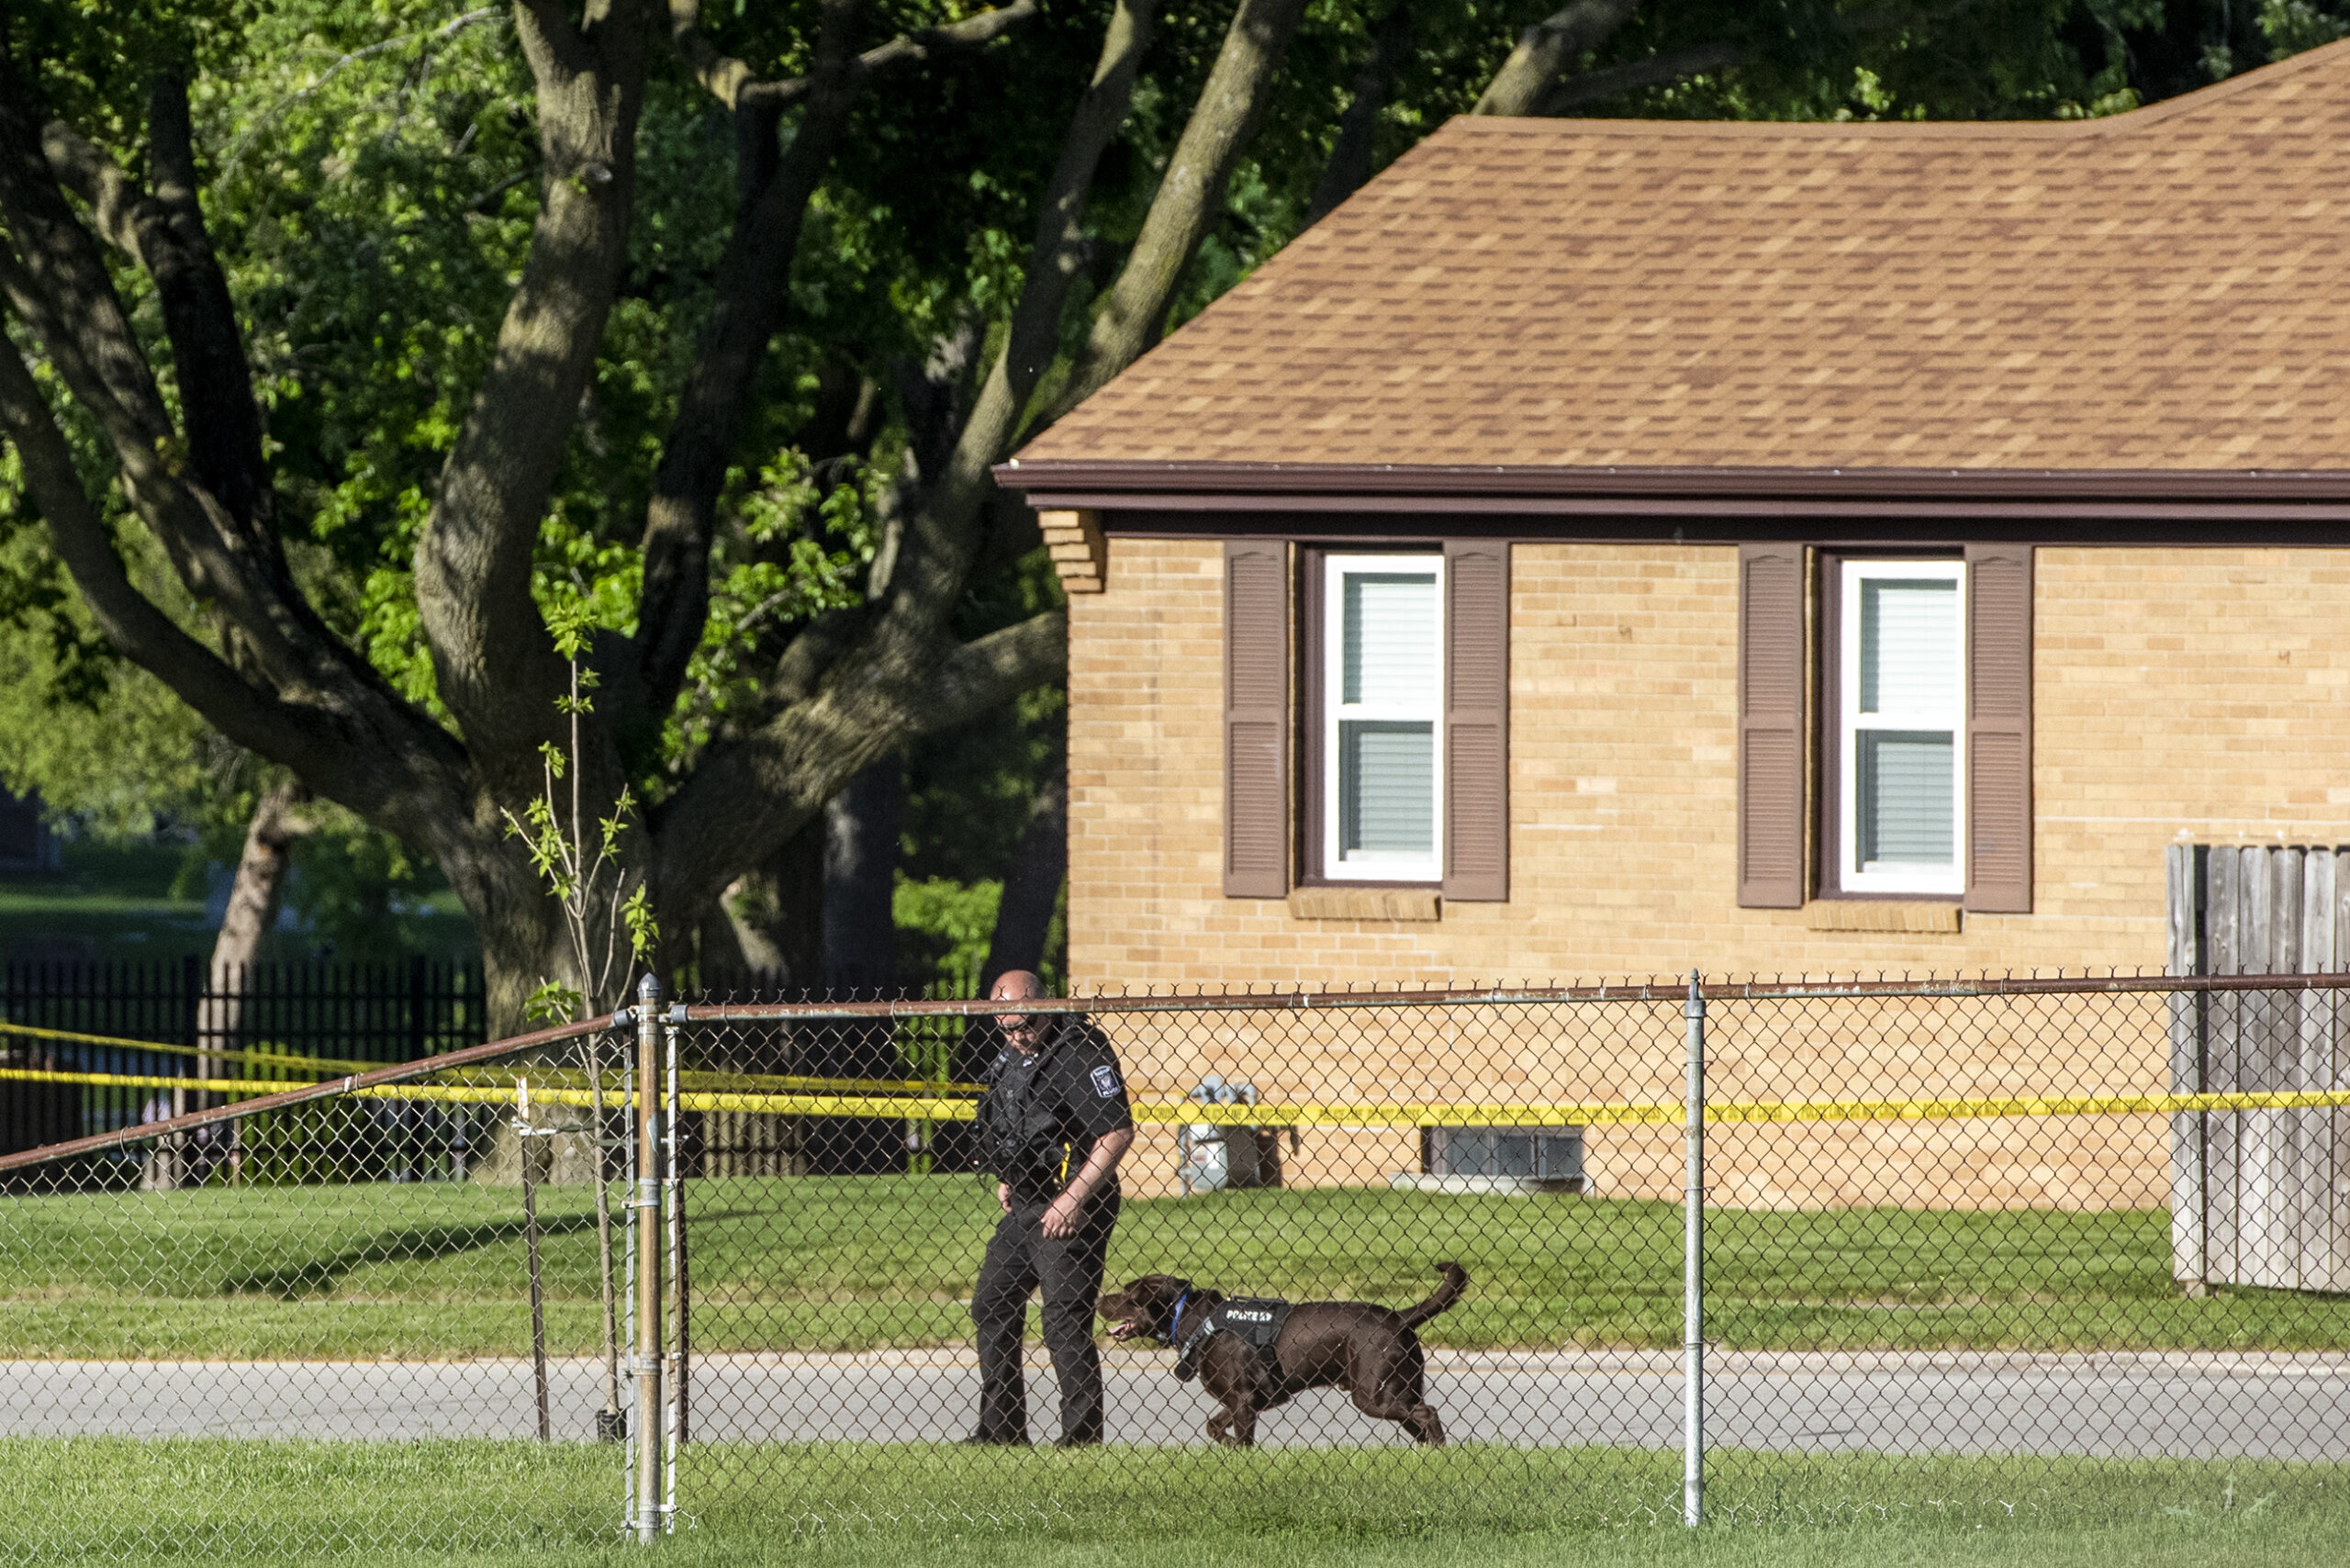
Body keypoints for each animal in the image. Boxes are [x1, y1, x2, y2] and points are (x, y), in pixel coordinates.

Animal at [1090, 1260, 1457, 1448]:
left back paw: (1439, 1452)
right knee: (1418, 1420)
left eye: (1127, 1297)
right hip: (1399, 1387)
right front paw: (1226, 1445)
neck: (1194, 1319)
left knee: (1428, 1413)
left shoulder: (1242, 1400)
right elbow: (1213, 1426)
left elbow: (1242, 1439)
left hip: (1373, 1393)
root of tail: (1399, 1317)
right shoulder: (1244, 1400)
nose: (1097, 1301)